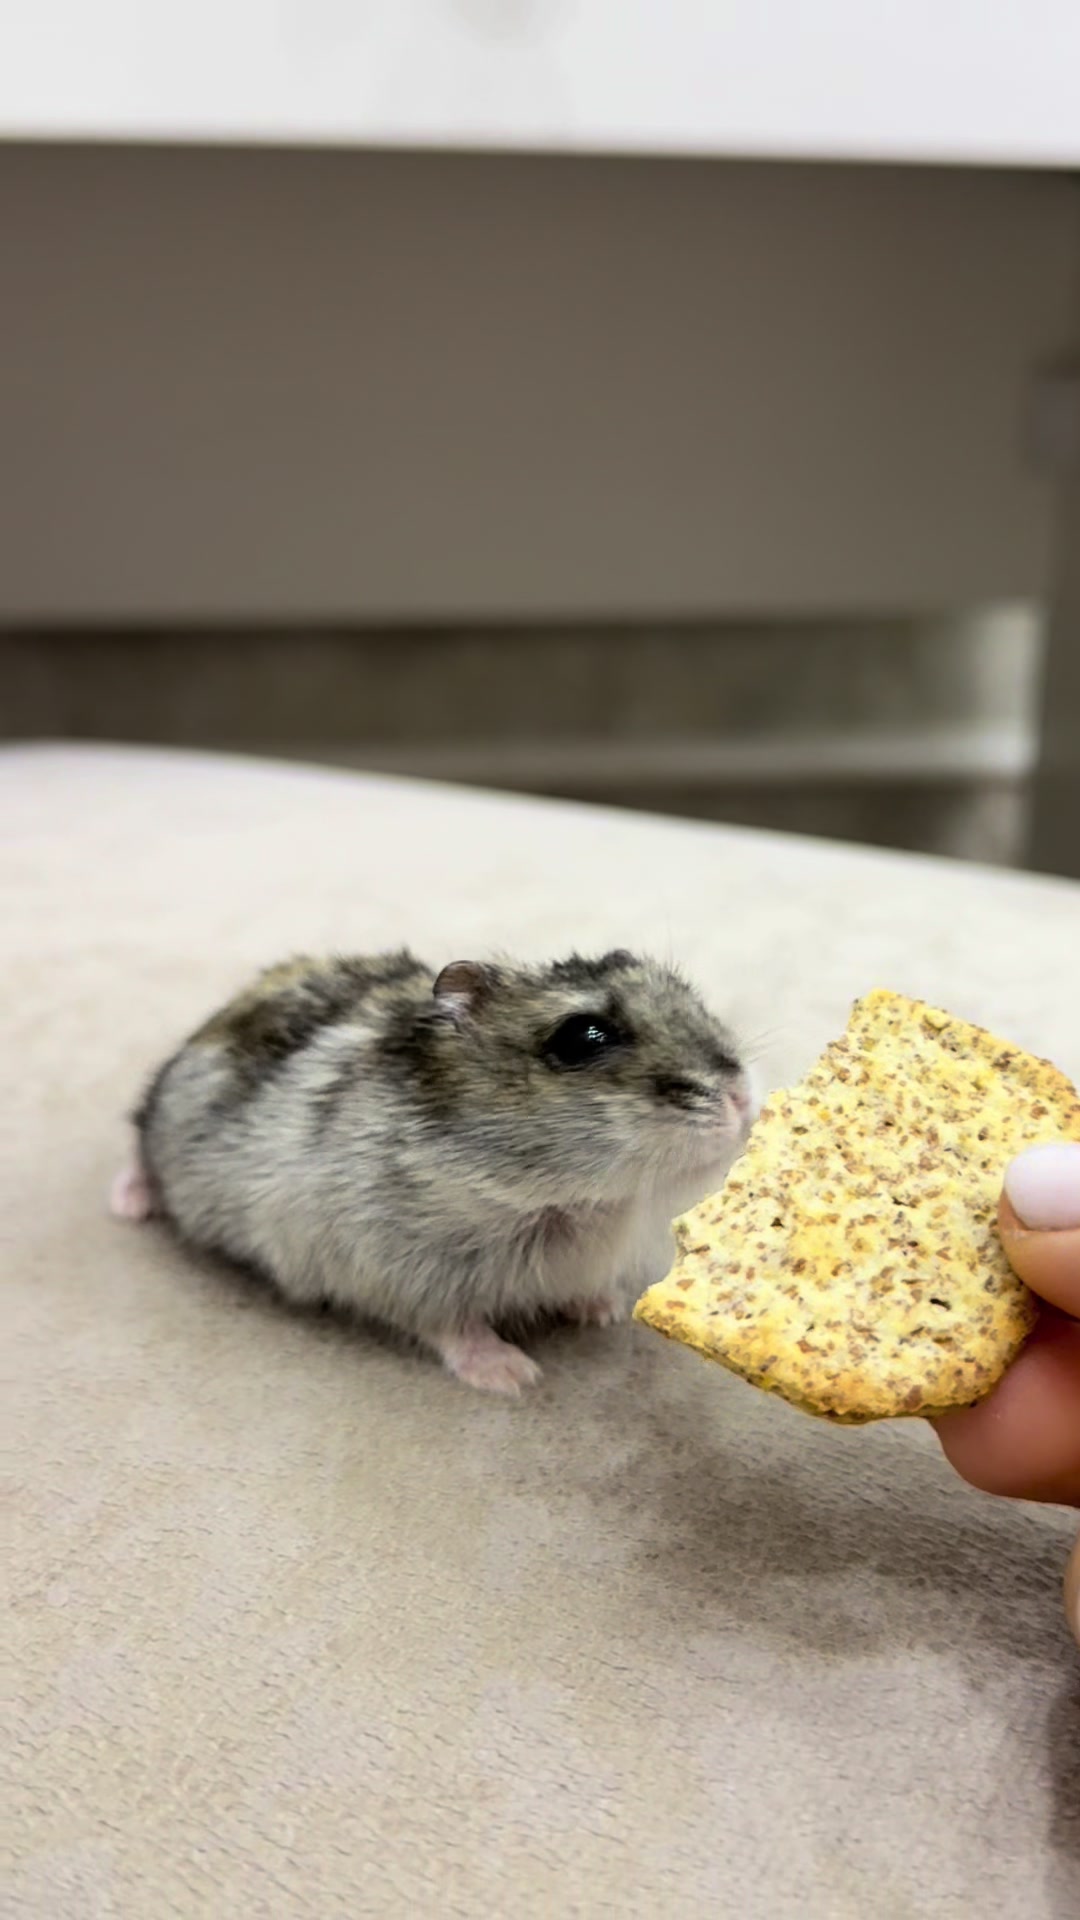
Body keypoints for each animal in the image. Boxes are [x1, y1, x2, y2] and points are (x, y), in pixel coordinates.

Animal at [111, 949, 753, 1394]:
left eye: (693, 1000)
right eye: (582, 1037)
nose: (741, 1096)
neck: (566, 1201)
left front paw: (603, 1312)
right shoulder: (400, 1276)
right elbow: (455, 1327)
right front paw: (513, 1376)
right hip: (164, 1129)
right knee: (139, 1148)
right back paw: (128, 1203)